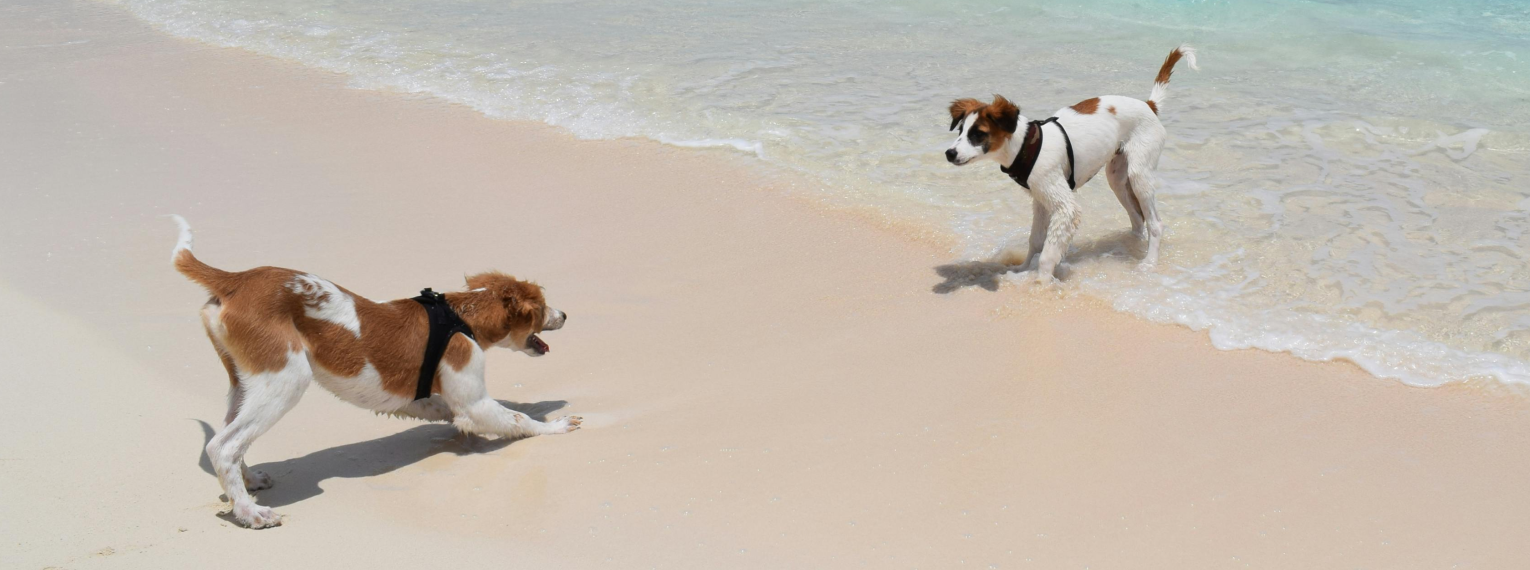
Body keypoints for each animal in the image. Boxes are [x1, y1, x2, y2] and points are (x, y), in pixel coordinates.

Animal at [166, 215, 575, 525]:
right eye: (542, 306)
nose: (566, 314)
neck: (462, 315)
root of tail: (235, 279)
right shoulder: (473, 395)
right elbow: (518, 420)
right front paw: (558, 425)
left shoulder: (415, 398)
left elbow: (448, 410)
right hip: (286, 378)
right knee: (222, 445)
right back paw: (250, 513)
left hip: (246, 382)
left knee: (231, 439)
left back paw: (249, 481)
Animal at [942, 45, 1193, 281]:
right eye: (961, 131)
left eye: (979, 134)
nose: (949, 153)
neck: (1024, 145)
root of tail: (1149, 105)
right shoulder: (1041, 200)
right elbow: (1035, 241)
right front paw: (1023, 270)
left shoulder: (1065, 207)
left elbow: (1048, 253)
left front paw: (1041, 282)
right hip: (1117, 177)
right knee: (1137, 219)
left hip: (1139, 175)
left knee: (1155, 224)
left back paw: (1149, 264)